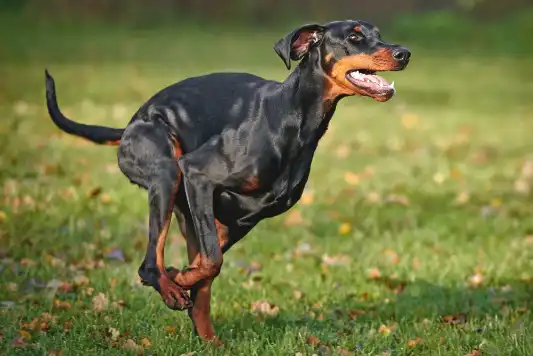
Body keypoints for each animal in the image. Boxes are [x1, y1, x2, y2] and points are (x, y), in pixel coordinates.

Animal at [45, 20, 410, 344]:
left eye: (378, 33)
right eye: (354, 36)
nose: (404, 53)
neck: (291, 118)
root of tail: (129, 126)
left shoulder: (242, 218)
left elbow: (208, 266)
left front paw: (181, 277)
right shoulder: (197, 175)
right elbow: (211, 262)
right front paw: (179, 279)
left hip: (190, 212)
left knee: (196, 288)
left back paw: (206, 335)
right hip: (167, 173)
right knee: (149, 264)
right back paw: (170, 290)